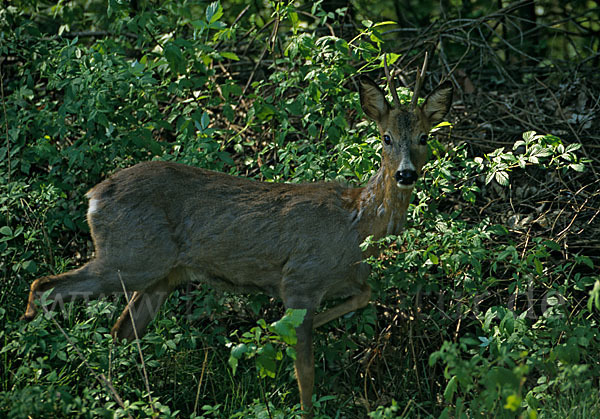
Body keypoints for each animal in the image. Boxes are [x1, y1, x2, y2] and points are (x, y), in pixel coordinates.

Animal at [24, 60, 454, 418]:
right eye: (385, 137)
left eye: (424, 137)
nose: (406, 174)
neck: (358, 223)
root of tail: (93, 196)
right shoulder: (300, 278)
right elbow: (306, 372)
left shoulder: (346, 279)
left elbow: (365, 295)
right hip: (129, 256)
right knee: (44, 286)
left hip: (161, 276)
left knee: (121, 330)